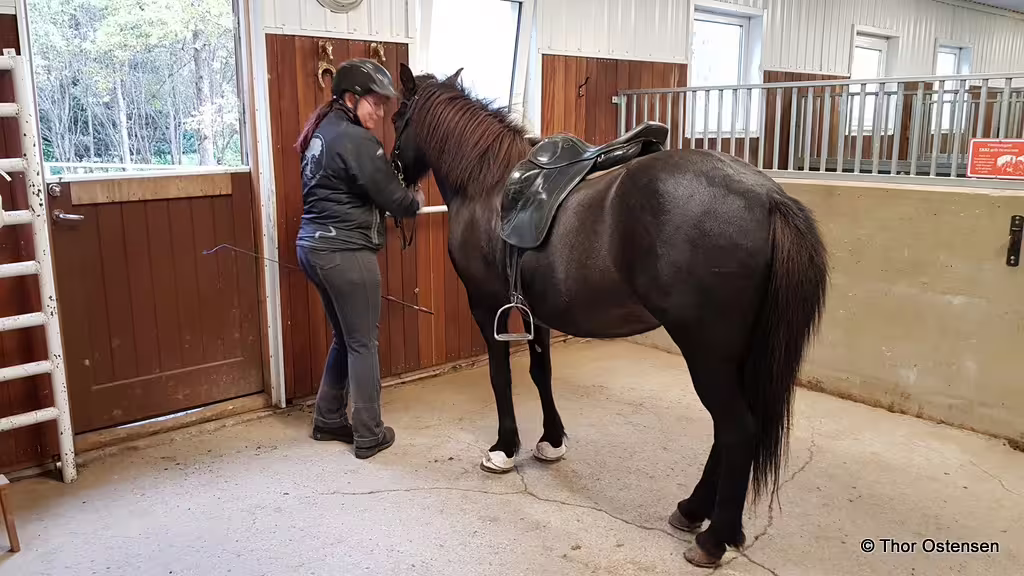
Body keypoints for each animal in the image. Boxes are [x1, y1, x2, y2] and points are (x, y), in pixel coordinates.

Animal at [390, 63, 829, 568]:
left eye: (397, 116)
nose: (394, 171)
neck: (488, 184)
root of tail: (769, 198)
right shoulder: (534, 311)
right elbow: (541, 371)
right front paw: (551, 440)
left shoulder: (485, 305)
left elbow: (501, 376)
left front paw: (504, 448)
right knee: (730, 429)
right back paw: (693, 509)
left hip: (707, 353)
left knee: (736, 429)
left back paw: (713, 538)